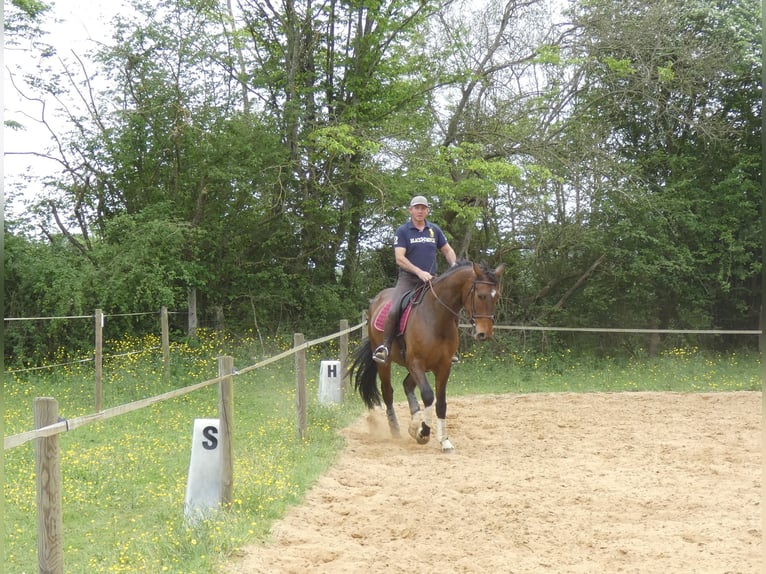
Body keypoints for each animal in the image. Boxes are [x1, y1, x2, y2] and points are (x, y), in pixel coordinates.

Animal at [346, 260, 504, 454]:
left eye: (496, 297)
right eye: (481, 296)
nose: (484, 334)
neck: (436, 317)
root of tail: (376, 300)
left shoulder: (443, 366)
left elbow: (441, 403)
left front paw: (444, 441)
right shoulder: (416, 362)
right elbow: (428, 395)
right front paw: (423, 433)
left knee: (406, 385)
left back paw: (414, 423)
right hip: (386, 363)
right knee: (388, 392)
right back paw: (396, 429)